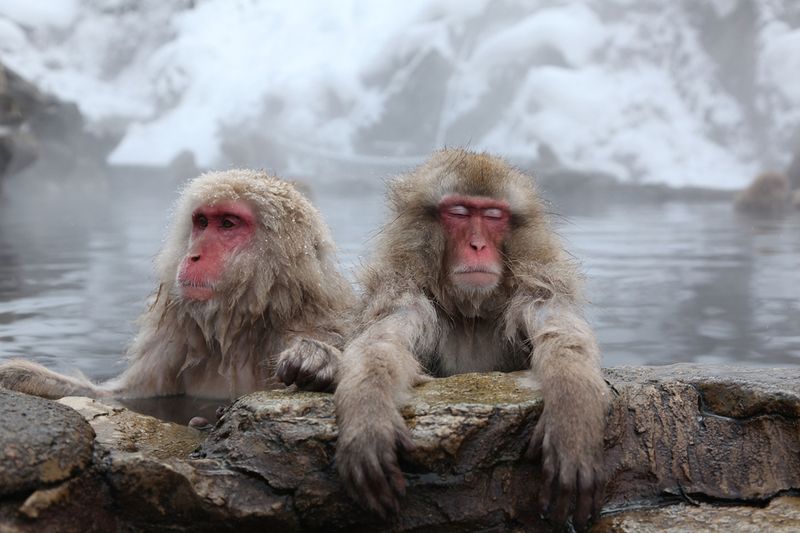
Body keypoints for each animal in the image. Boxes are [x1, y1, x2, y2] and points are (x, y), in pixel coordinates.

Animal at [0, 170, 354, 400]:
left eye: (228, 224)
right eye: (202, 222)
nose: (193, 255)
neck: (242, 327)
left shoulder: (315, 324)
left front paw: (319, 360)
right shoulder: (176, 338)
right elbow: (126, 395)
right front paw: (23, 376)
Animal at [334, 149, 608, 528]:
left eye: (493, 215)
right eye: (459, 212)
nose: (477, 245)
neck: (471, 315)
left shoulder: (536, 289)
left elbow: (561, 335)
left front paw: (573, 420)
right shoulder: (405, 294)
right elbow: (381, 344)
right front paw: (367, 419)